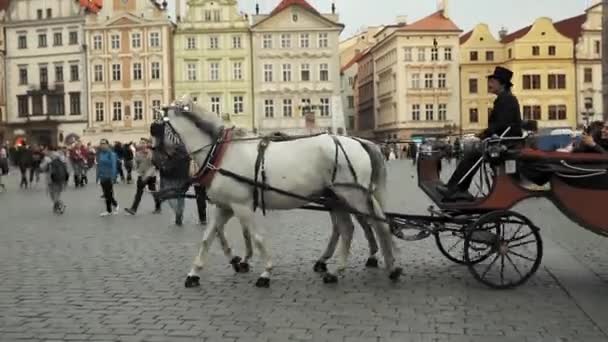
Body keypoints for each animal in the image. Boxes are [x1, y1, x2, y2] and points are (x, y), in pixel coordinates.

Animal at [157, 97, 402, 288]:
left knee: (378, 224)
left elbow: (257, 237)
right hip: (336, 198)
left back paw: (391, 266)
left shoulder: (242, 206)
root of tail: (359, 142)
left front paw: (265, 272)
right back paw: (336, 271)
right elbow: (207, 238)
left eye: (157, 128)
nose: (159, 163)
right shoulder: (224, 207)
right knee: (347, 229)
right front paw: (194, 273)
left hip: (354, 196)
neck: (221, 152)